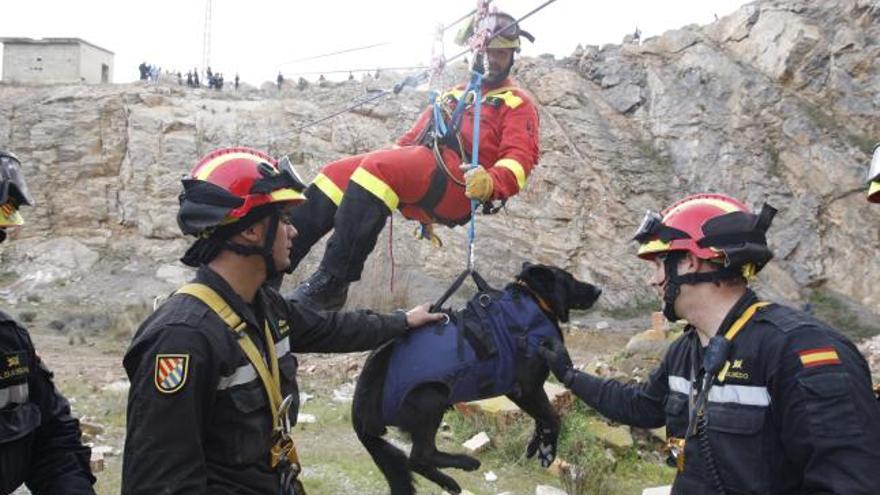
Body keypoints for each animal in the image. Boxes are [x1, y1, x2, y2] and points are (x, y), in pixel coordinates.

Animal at [354, 262, 600, 494]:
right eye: (570, 278)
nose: (598, 290)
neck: (533, 301)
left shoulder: (522, 393)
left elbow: (542, 417)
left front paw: (535, 444)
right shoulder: (528, 388)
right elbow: (552, 418)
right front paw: (548, 450)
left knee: (418, 460)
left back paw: (449, 482)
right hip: (431, 398)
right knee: (420, 456)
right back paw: (463, 464)